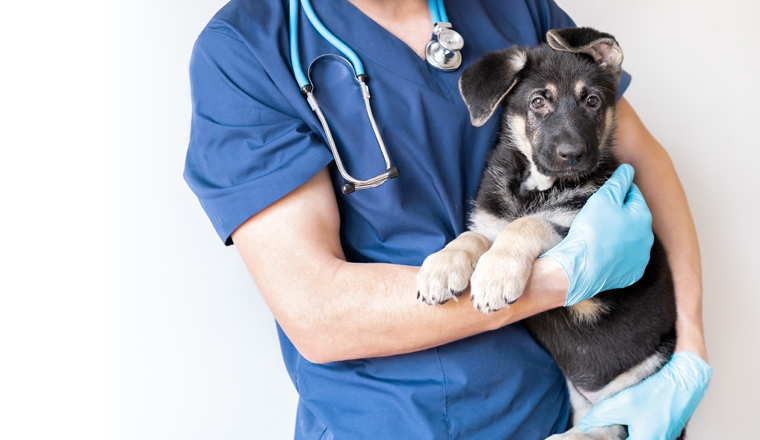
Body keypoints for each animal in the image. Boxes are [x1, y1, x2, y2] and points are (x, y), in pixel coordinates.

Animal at [418, 28, 680, 440]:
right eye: (538, 101)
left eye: (592, 100)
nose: (572, 154)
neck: (536, 186)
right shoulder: (490, 220)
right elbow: (474, 237)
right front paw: (443, 267)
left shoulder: (574, 226)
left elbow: (528, 224)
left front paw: (496, 274)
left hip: (651, 366)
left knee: (611, 426)